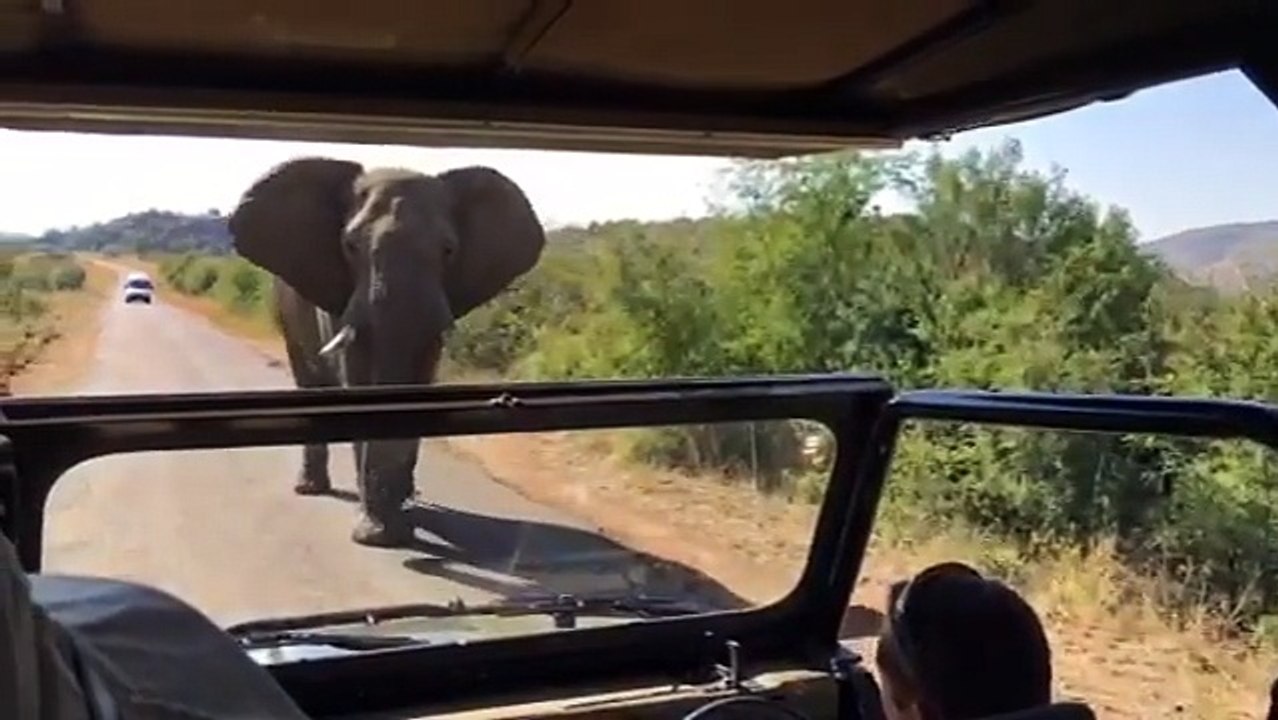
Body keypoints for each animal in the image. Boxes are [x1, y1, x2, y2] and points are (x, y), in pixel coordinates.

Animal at [227, 157, 546, 547]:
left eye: (448, 250)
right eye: (350, 246)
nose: (388, 533)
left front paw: (396, 523)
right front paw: (377, 533)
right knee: (309, 381)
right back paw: (311, 488)